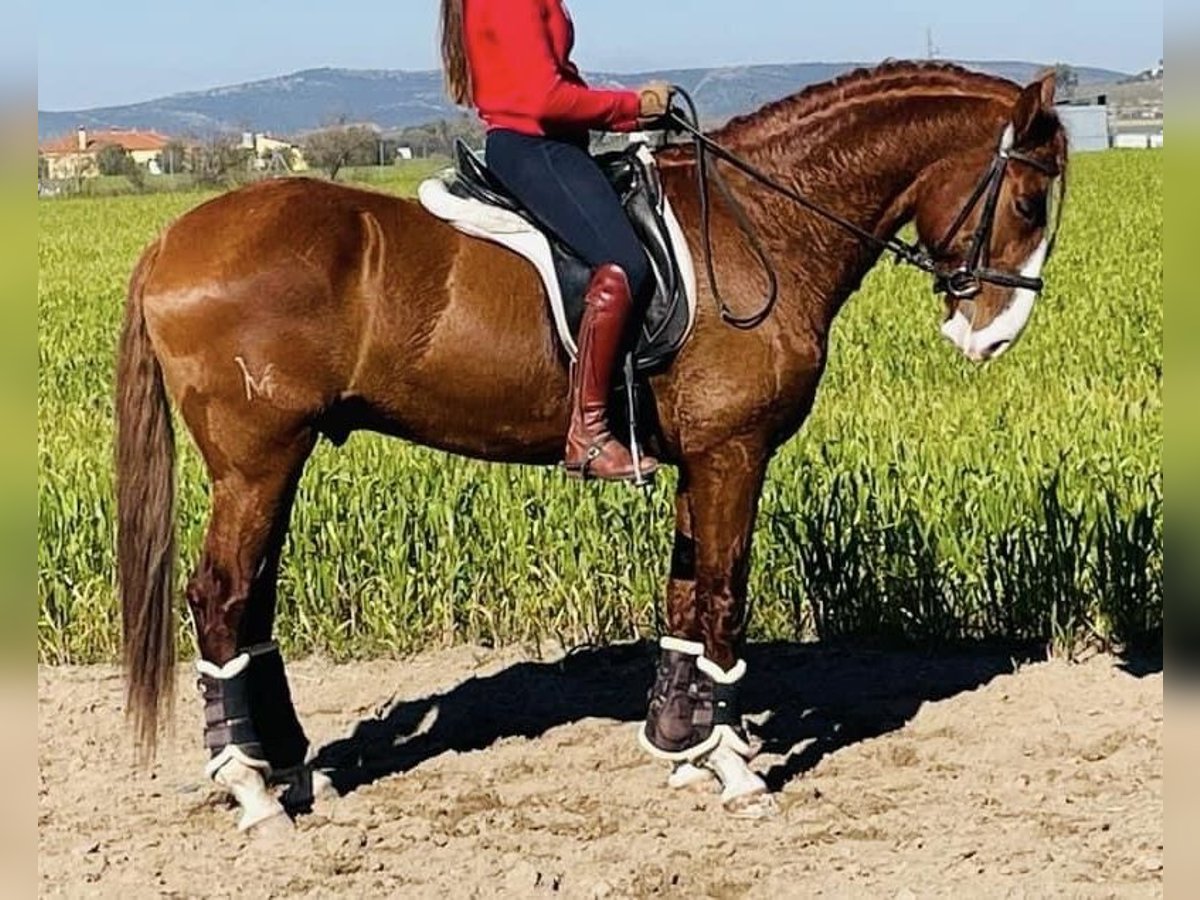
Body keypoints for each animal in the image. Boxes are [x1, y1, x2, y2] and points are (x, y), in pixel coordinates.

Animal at [114, 63, 1070, 830]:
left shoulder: (700, 460)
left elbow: (685, 599)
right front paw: (732, 766)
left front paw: (681, 746)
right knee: (221, 597)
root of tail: (170, 239)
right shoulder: (735, 453)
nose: (994, 336)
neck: (760, 222)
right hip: (258, 460)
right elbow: (724, 597)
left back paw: (287, 767)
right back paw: (252, 790)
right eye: (1028, 203)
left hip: (278, 459)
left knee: (251, 603)